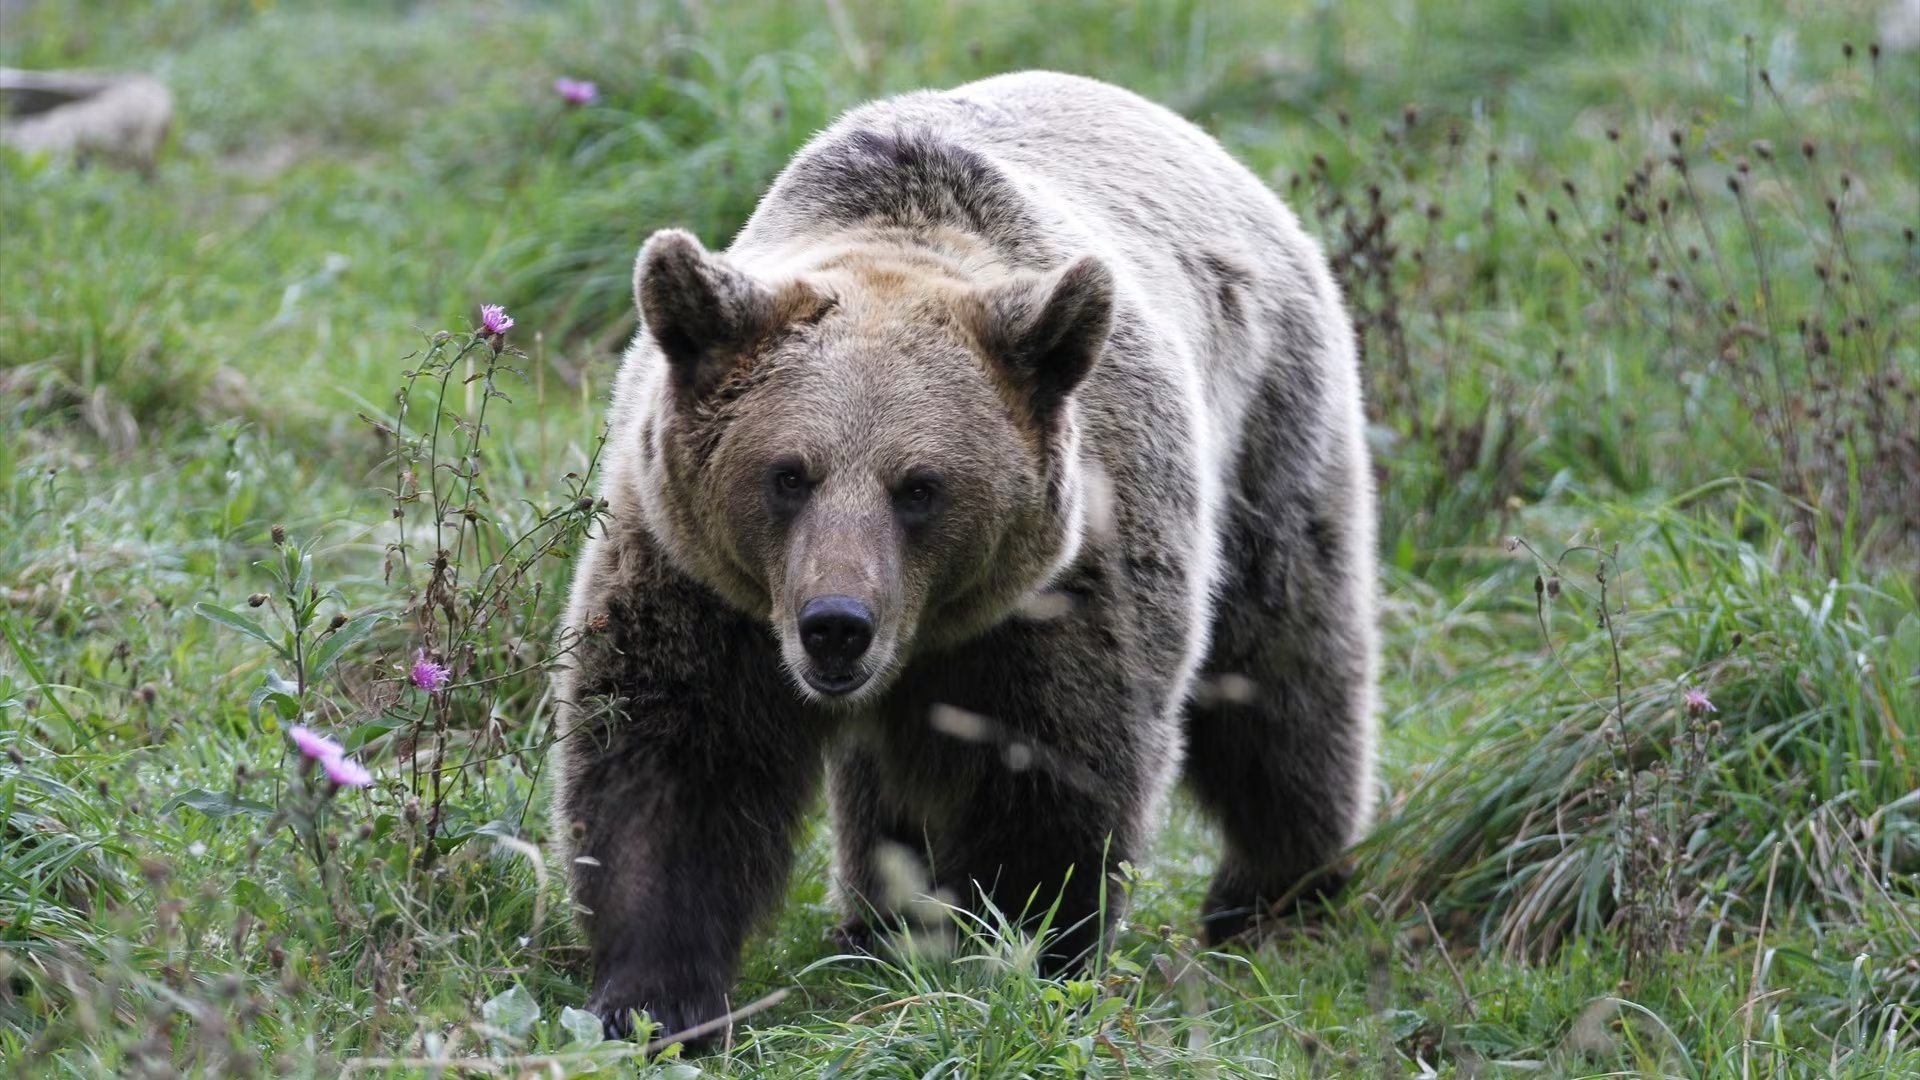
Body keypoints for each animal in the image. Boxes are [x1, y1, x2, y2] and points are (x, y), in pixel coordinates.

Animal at [550, 70, 1378, 1042]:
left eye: (920, 486)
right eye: (788, 474)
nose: (837, 626)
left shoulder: (1068, 583)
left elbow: (1055, 770)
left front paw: (1014, 957)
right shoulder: (699, 578)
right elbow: (673, 761)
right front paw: (652, 999)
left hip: (1270, 435)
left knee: (1283, 674)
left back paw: (1276, 889)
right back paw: (875, 922)